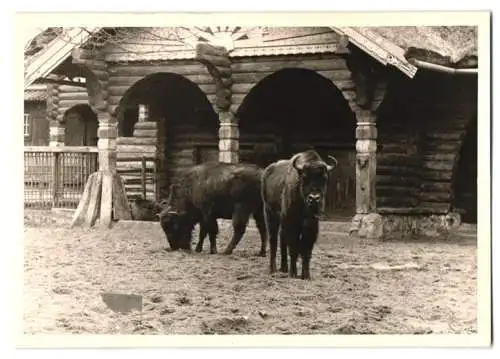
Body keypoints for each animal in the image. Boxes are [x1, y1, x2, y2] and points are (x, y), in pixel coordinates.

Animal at [260, 150, 338, 280]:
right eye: (304, 177)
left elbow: (306, 249)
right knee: (273, 240)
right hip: (270, 214)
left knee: (282, 239)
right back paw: (273, 270)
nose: (314, 198)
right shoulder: (292, 224)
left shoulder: (311, 225)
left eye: (324, 178)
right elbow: (294, 248)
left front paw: (306, 275)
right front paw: (293, 273)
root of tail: (267, 172)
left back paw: (284, 268)